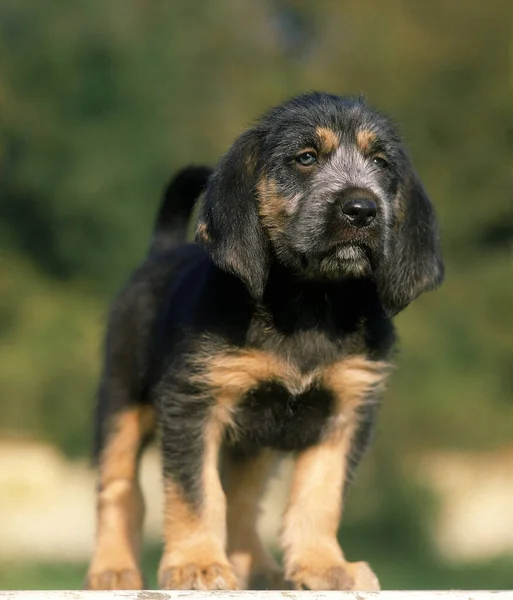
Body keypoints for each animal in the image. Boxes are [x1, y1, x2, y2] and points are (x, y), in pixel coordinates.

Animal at [85, 92, 444, 592]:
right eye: (306, 158)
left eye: (380, 163)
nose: (362, 210)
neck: (310, 301)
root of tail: (162, 250)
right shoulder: (193, 404)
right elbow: (197, 492)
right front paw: (198, 563)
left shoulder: (347, 410)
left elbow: (320, 495)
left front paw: (322, 565)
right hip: (122, 402)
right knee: (119, 488)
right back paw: (113, 568)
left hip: (253, 444)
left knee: (243, 500)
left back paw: (256, 567)